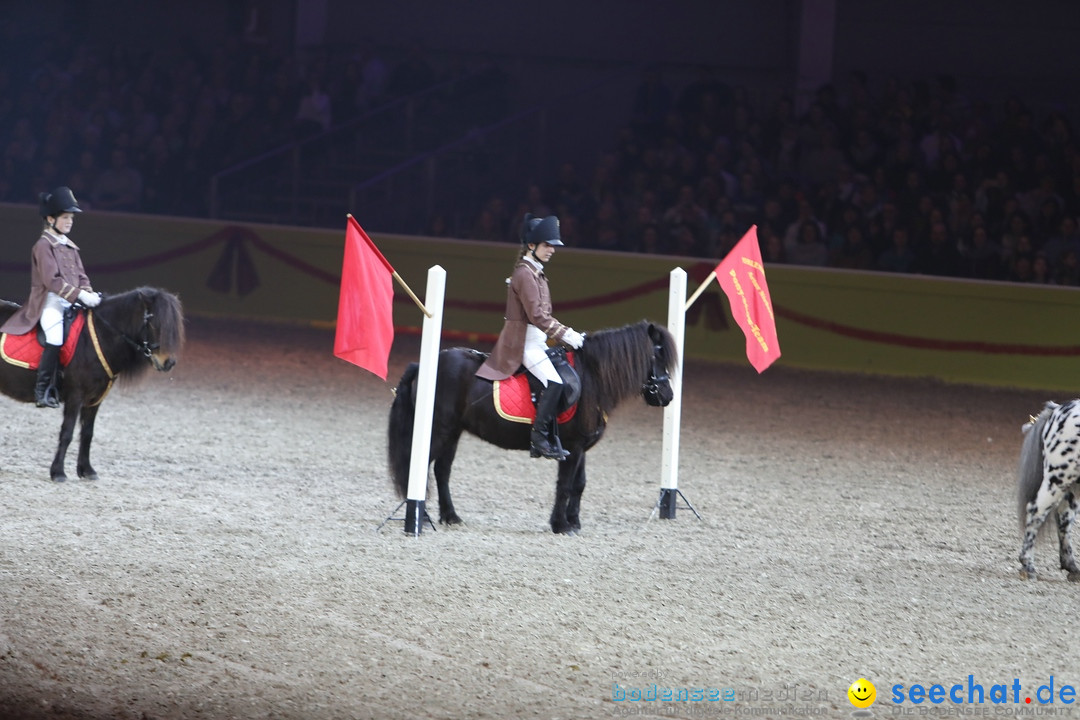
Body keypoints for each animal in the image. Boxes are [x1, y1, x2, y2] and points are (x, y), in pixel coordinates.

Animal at [0, 289, 183, 483]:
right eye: (154, 323)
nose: (168, 363)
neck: (101, 336)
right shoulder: (75, 396)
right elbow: (67, 432)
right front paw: (58, 472)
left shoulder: (94, 399)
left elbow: (87, 433)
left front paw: (87, 470)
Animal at [388, 321, 673, 535]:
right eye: (656, 353)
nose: (667, 396)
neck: (591, 377)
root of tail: (423, 365)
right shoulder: (571, 448)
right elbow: (565, 485)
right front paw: (560, 525)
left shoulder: (581, 448)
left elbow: (579, 484)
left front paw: (574, 522)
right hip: (438, 431)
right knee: (420, 469)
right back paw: (420, 517)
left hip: (452, 433)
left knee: (442, 471)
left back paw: (450, 516)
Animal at [1015, 399, 1080, 578]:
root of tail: (1057, 410)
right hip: (1057, 480)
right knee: (1036, 511)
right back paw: (1028, 566)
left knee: (1064, 517)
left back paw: (1072, 567)